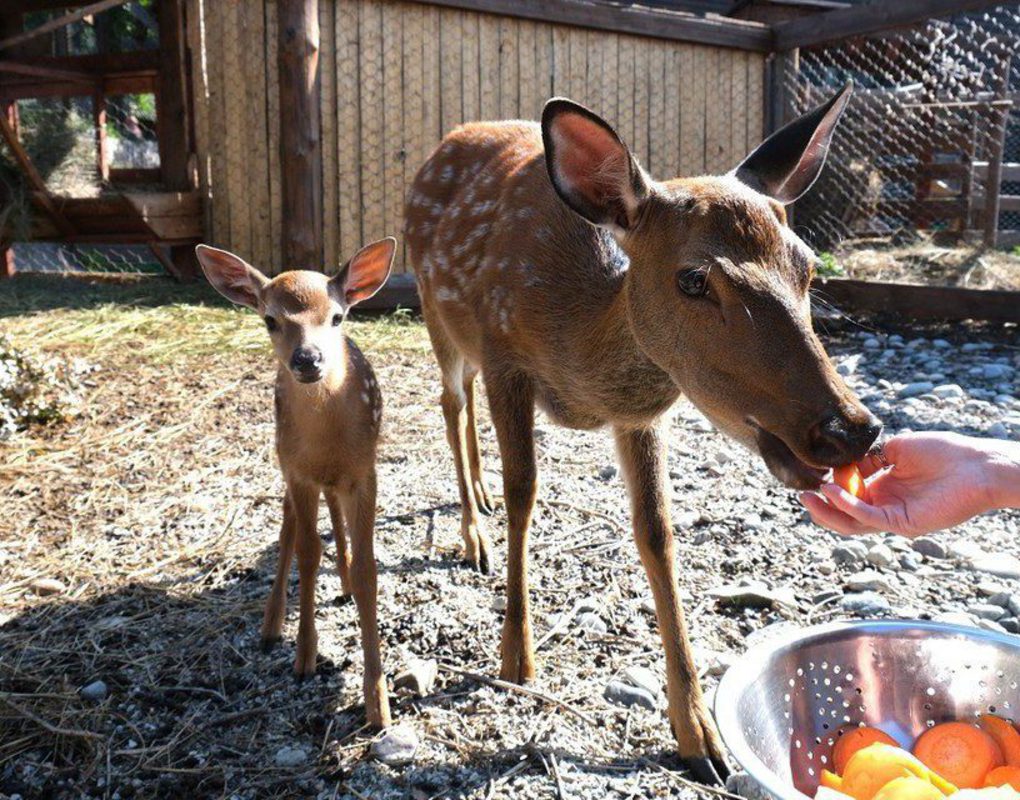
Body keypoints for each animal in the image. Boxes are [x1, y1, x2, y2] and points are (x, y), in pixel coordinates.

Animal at [401, 85, 881, 779]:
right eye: (693, 278)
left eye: (808, 268)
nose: (852, 428)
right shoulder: (503, 353)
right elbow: (525, 493)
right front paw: (516, 655)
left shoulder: (640, 417)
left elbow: (656, 533)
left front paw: (698, 733)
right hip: (439, 314)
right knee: (450, 401)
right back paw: (473, 533)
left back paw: (479, 507)